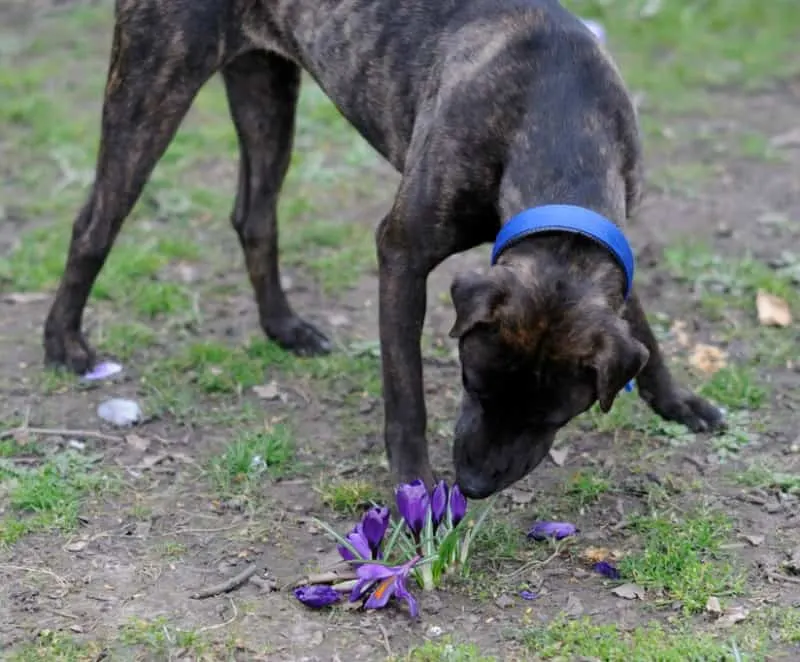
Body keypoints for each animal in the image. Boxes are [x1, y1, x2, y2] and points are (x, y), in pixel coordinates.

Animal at [42, 0, 724, 500]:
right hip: (152, 85)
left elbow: (644, 333)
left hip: (266, 89)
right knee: (94, 222)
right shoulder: (401, 253)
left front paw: (678, 402)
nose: (472, 487)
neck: (556, 122)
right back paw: (65, 343)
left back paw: (284, 327)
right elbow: (405, 392)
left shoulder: (609, 251)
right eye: (473, 386)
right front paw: (415, 487)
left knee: (254, 216)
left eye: (552, 418)